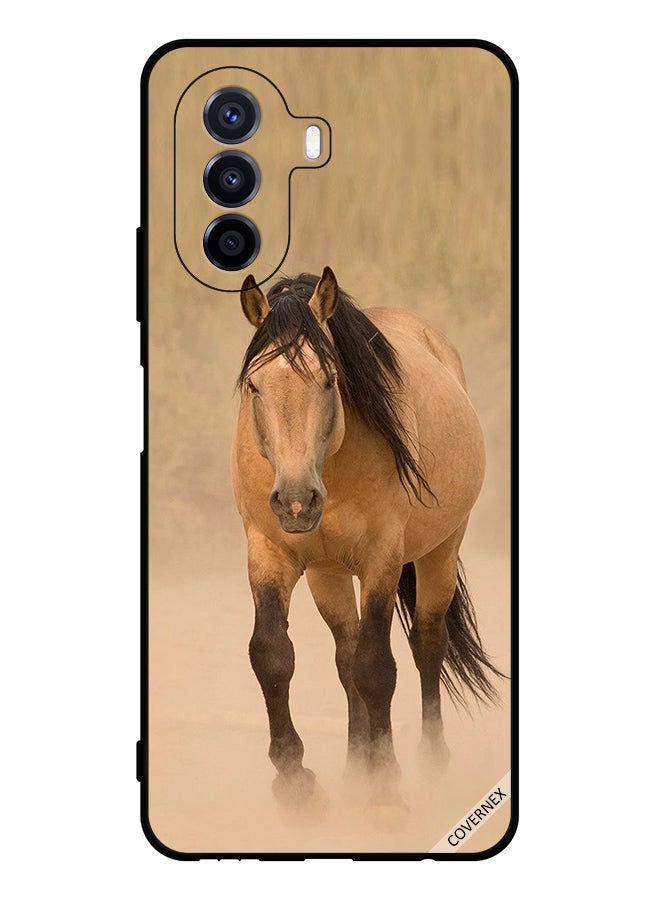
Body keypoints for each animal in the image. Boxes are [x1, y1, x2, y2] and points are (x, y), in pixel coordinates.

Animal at [231, 267, 501, 819]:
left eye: (330, 379)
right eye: (254, 385)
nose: (296, 501)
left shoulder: (382, 560)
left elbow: (378, 667)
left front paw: (386, 787)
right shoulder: (269, 553)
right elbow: (272, 654)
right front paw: (296, 781)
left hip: (440, 552)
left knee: (426, 645)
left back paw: (430, 762)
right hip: (327, 573)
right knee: (345, 655)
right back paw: (356, 767)